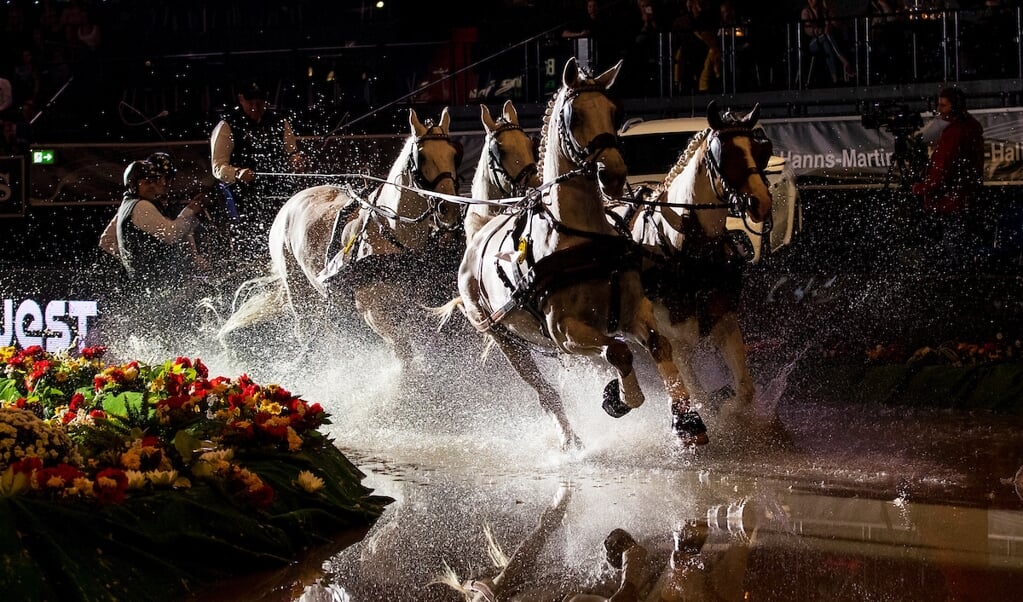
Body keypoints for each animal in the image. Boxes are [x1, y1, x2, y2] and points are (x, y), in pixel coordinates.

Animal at [221, 106, 466, 366]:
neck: (391, 232)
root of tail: (290, 202)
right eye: (422, 157)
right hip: (297, 288)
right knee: (304, 328)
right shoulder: (375, 313)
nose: (450, 209)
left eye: (453, 154)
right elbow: (404, 357)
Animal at [605, 102, 773, 432]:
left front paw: (730, 412)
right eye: (725, 155)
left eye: (761, 150)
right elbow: (698, 396)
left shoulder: (724, 319)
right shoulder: (672, 340)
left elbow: (745, 389)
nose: (760, 201)